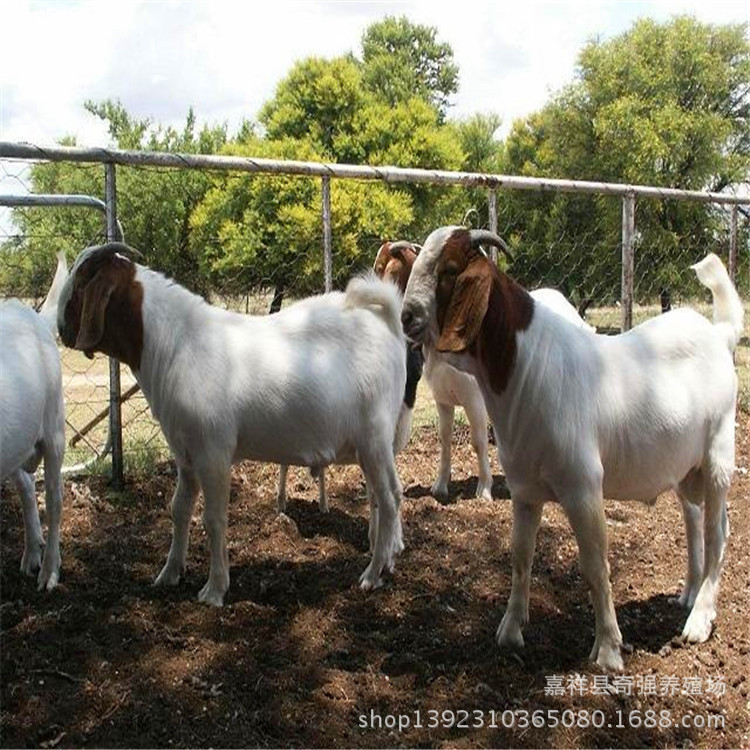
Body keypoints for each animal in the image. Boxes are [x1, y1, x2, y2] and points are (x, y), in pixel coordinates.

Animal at [58, 244, 408, 608]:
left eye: (81, 283)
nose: (60, 327)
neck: (175, 344)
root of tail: (386, 324)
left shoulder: (212, 451)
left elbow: (214, 519)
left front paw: (214, 590)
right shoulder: (185, 453)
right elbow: (179, 509)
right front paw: (169, 574)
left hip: (375, 437)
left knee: (389, 497)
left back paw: (372, 575)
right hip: (370, 446)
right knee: (384, 495)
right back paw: (386, 563)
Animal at [402, 226, 744, 672]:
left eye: (449, 269)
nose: (407, 316)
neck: (525, 365)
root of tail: (718, 335)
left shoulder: (583, 487)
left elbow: (596, 567)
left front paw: (609, 649)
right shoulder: (524, 489)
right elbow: (521, 555)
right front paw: (510, 630)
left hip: (718, 452)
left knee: (717, 530)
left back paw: (700, 620)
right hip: (684, 468)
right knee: (694, 519)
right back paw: (688, 594)